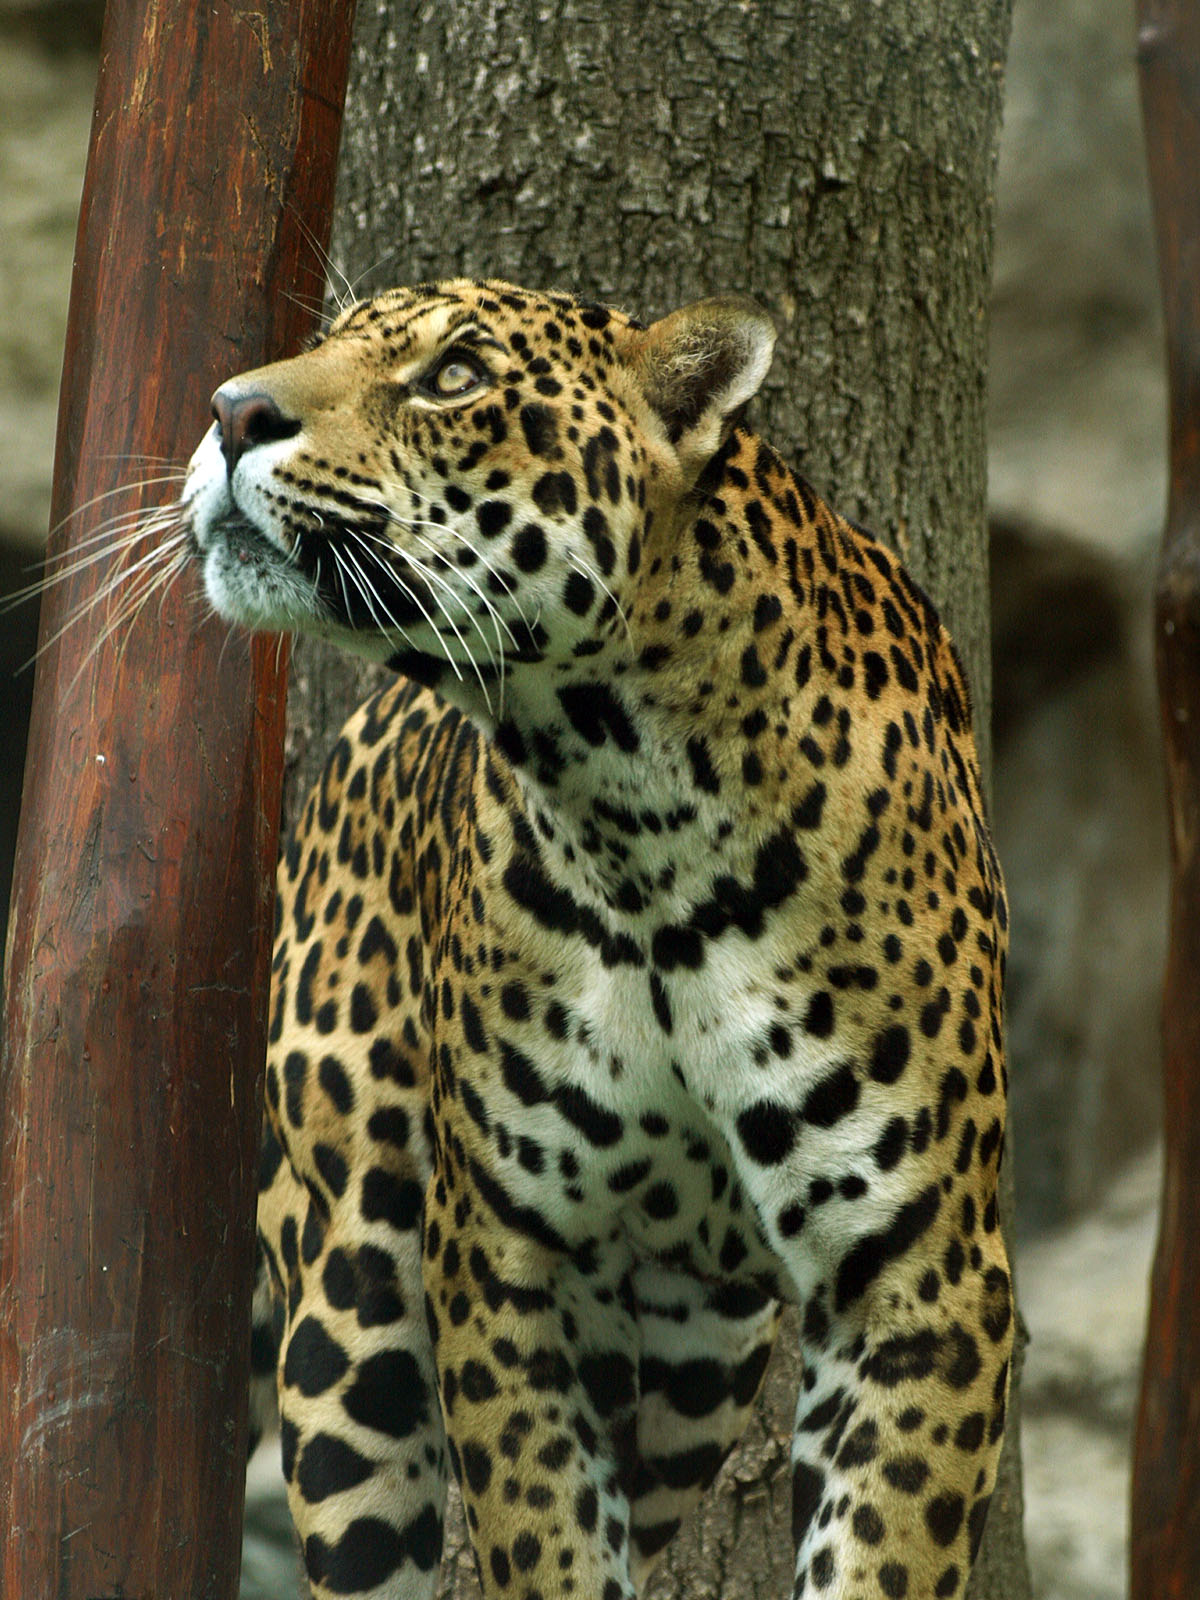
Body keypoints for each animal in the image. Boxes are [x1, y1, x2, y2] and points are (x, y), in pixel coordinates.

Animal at [183, 277, 1012, 1600]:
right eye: (327, 339)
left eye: (455, 377)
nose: (228, 411)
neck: (633, 801)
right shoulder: (502, 1264)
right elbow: (546, 1541)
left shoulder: (925, 1277)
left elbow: (880, 1553)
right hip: (352, 1311)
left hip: (691, 1371)